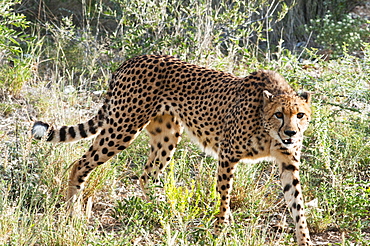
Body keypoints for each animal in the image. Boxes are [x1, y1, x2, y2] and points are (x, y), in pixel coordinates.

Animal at [33, 54, 314, 245]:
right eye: (279, 114)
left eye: (300, 115)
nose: (291, 133)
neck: (267, 128)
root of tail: (134, 59)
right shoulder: (227, 156)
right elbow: (224, 199)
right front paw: (220, 231)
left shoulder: (288, 163)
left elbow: (298, 206)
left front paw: (305, 240)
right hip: (123, 127)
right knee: (80, 164)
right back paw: (74, 213)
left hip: (167, 133)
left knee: (147, 175)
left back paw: (160, 212)